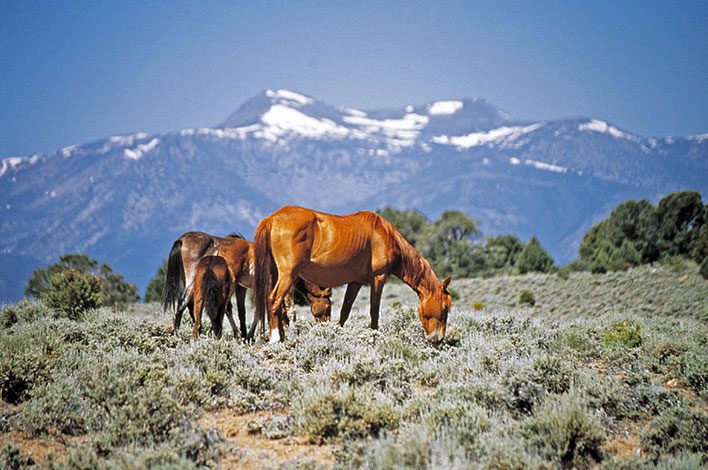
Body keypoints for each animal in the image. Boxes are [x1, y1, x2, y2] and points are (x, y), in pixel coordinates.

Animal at [163, 231, 332, 338]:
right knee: (188, 303)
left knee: (195, 305)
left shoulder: (247, 287)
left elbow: (253, 310)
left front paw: (250, 334)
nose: (327, 325)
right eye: (328, 306)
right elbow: (288, 311)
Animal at [253, 206, 452, 343]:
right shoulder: (378, 278)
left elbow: (345, 311)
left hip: (276, 273)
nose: (438, 339)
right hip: (288, 275)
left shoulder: (355, 282)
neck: (384, 234)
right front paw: (373, 338)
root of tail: (272, 219)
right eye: (445, 307)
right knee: (274, 300)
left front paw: (337, 334)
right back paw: (276, 338)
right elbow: (374, 311)